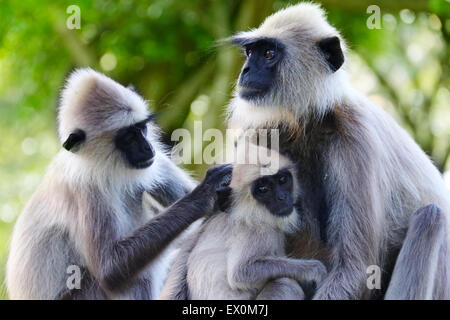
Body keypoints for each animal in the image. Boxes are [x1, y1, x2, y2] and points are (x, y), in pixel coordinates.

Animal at [6, 68, 232, 300]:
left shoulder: (153, 161)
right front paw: (205, 194)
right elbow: (109, 271)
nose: (147, 147)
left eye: (141, 128)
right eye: (128, 138)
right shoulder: (84, 188)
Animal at [161, 144, 326, 298]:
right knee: (284, 283)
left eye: (283, 180)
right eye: (263, 189)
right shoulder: (258, 230)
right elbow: (240, 273)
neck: (246, 212)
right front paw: (316, 271)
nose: (282, 197)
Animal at [229, 1, 450, 300]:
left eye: (269, 53)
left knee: (431, 217)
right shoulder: (262, 133)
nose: (246, 70)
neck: (307, 125)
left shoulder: (357, 139)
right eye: (250, 52)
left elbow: (358, 269)